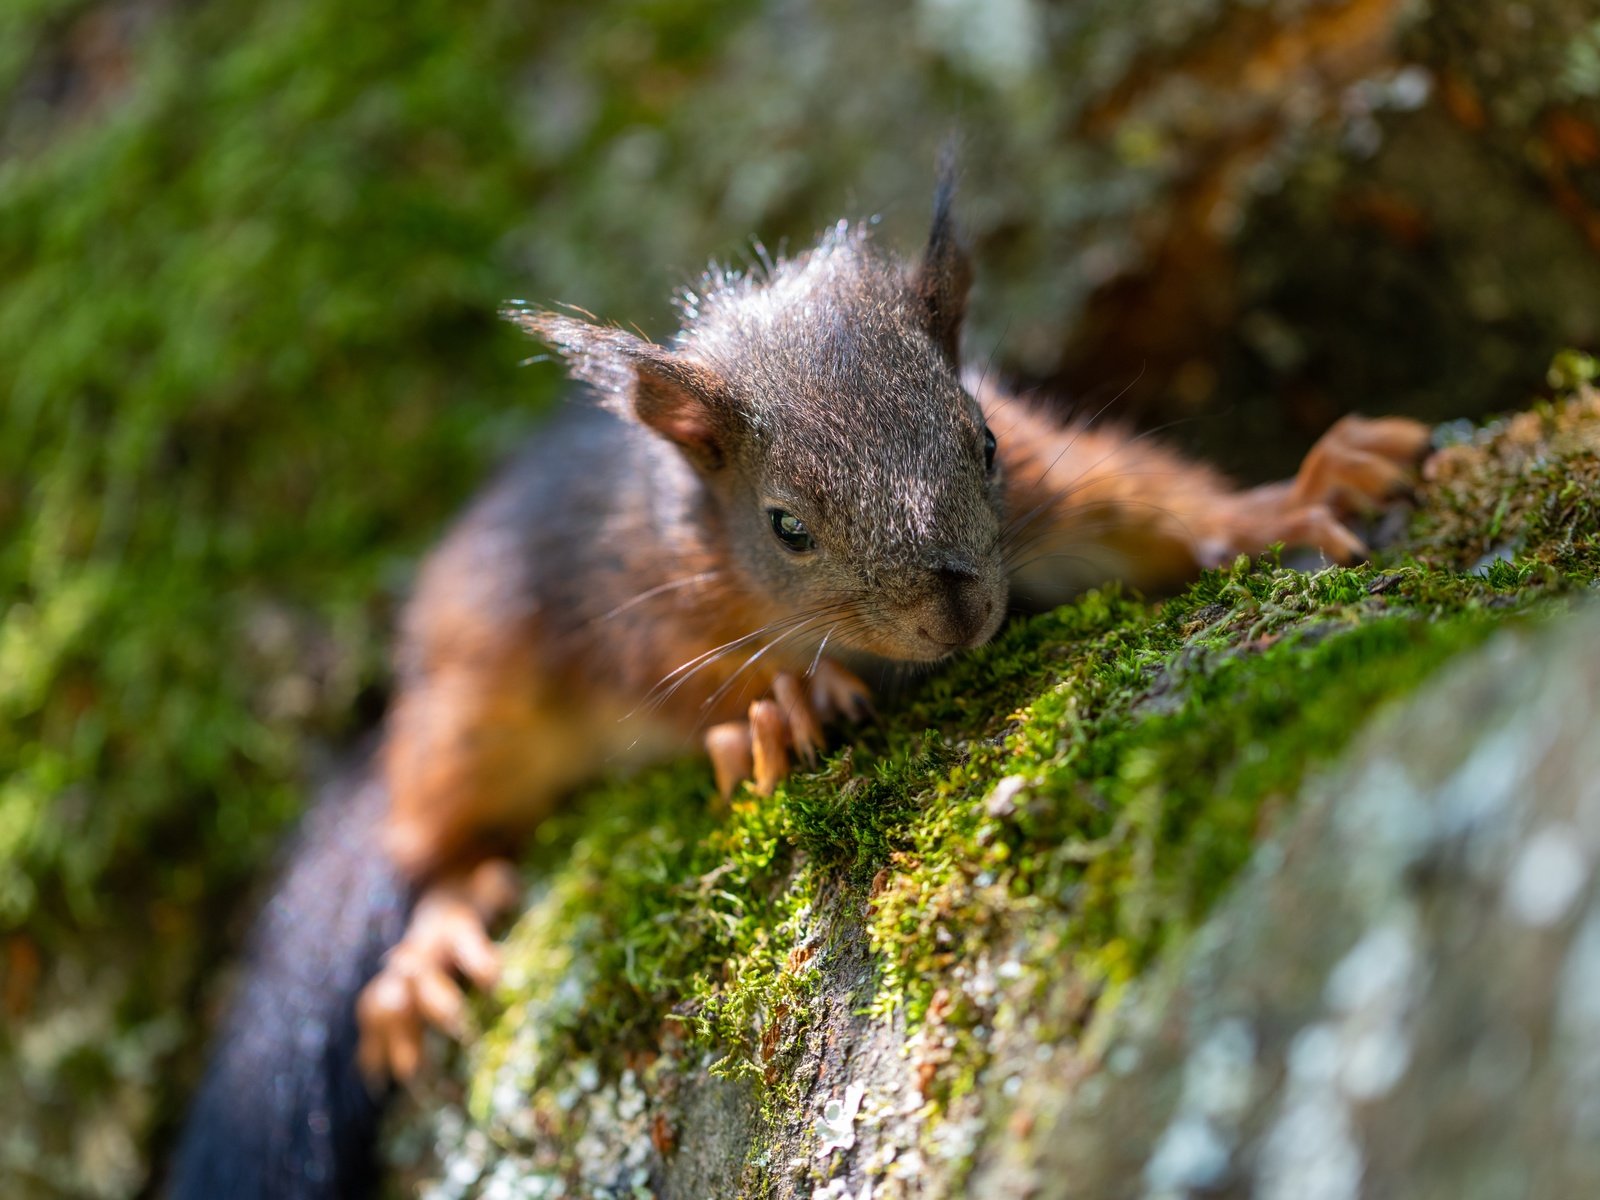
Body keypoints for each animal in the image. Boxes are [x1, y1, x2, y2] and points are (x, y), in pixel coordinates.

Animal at [172, 173, 1427, 1196]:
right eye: (786, 527)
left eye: (981, 441)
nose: (960, 613)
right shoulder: (646, 605)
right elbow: (680, 689)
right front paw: (777, 709)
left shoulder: (1052, 487)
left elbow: (1150, 508)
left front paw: (1293, 494)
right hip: (472, 715)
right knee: (429, 835)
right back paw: (430, 937)